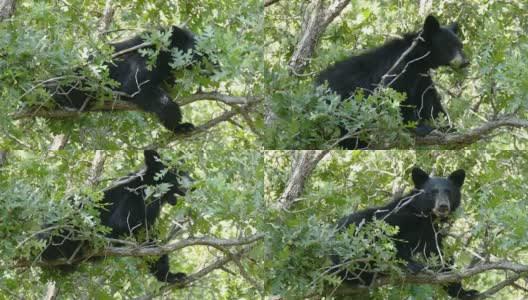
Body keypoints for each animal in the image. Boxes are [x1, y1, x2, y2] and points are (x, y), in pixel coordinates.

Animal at [40, 151, 194, 282]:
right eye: (177, 172)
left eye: (186, 171)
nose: (194, 185)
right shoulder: (133, 197)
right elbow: (123, 222)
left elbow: (148, 238)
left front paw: (170, 275)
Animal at [50, 25, 212, 134]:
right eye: (201, 52)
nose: (214, 66)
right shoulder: (146, 60)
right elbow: (136, 87)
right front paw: (175, 118)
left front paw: (181, 127)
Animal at [316, 15, 468, 149]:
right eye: (450, 46)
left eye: (460, 45)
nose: (466, 62)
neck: (417, 59)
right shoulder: (398, 71)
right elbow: (395, 97)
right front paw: (419, 127)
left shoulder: (421, 77)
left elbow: (429, 101)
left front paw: (449, 127)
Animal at [332, 168, 480, 298]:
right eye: (433, 192)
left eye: (449, 192)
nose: (443, 206)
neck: (425, 217)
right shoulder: (398, 216)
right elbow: (383, 239)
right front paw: (411, 264)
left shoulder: (432, 233)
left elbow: (440, 258)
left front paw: (465, 292)